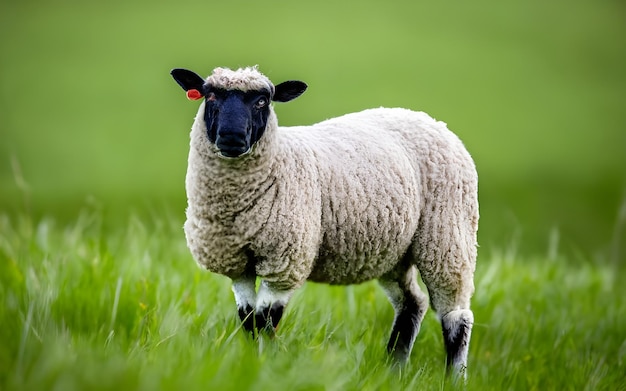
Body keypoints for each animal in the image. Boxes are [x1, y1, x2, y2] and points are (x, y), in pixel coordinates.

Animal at [168, 66, 476, 378]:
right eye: (210, 96)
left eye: (262, 101)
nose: (231, 138)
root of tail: (428, 119)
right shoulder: (238, 265)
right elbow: (248, 320)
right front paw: (250, 364)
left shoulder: (284, 263)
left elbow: (266, 321)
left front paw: (266, 367)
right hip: (395, 251)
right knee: (412, 303)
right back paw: (393, 370)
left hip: (447, 235)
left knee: (456, 315)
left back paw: (454, 377)